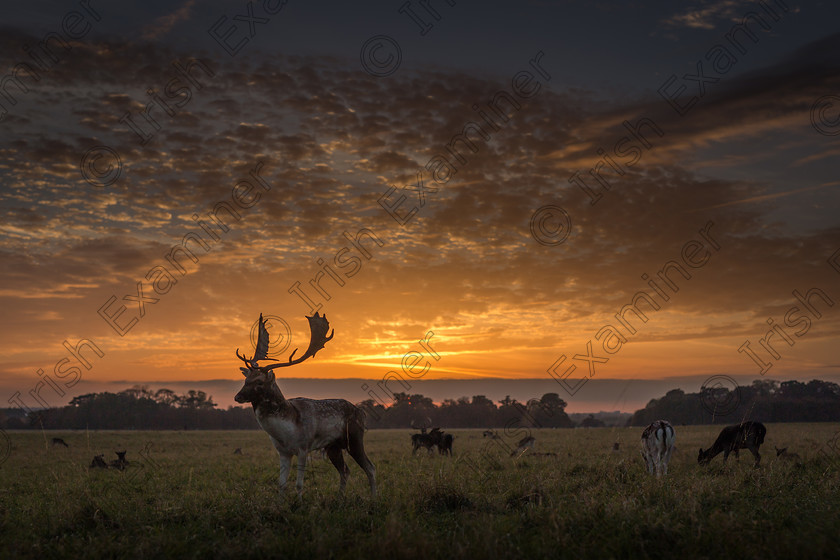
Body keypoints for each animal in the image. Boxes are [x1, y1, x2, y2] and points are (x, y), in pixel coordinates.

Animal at [233, 312, 378, 496]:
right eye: (246, 380)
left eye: (259, 382)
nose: (237, 396)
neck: (285, 431)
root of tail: (361, 412)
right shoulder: (283, 452)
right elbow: (282, 484)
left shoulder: (303, 447)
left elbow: (299, 484)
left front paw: (299, 500)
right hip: (333, 446)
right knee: (345, 470)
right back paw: (340, 497)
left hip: (354, 438)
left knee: (370, 467)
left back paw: (373, 498)